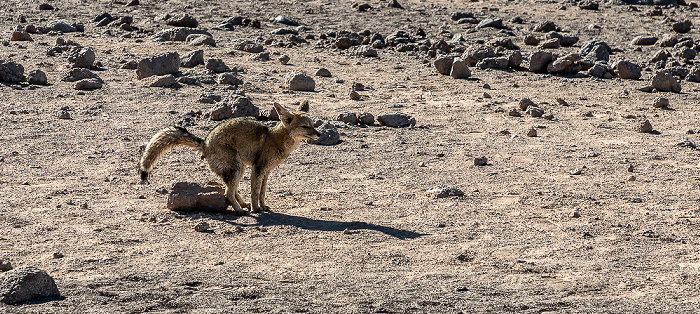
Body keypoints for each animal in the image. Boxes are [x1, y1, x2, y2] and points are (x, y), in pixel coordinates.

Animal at [139, 102, 320, 215]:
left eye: (313, 125)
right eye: (305, 127)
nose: (319, 134)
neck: (276, 139)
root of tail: (205, 142)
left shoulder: (266, 172)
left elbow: (262, 193)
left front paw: (262, 206)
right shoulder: (258, 169)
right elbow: (255, 192)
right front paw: (256, 209)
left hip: (240, 168)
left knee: (231, 189)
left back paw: (242, 205)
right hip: (238, 167)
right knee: (227, 192)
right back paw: (240, 210)